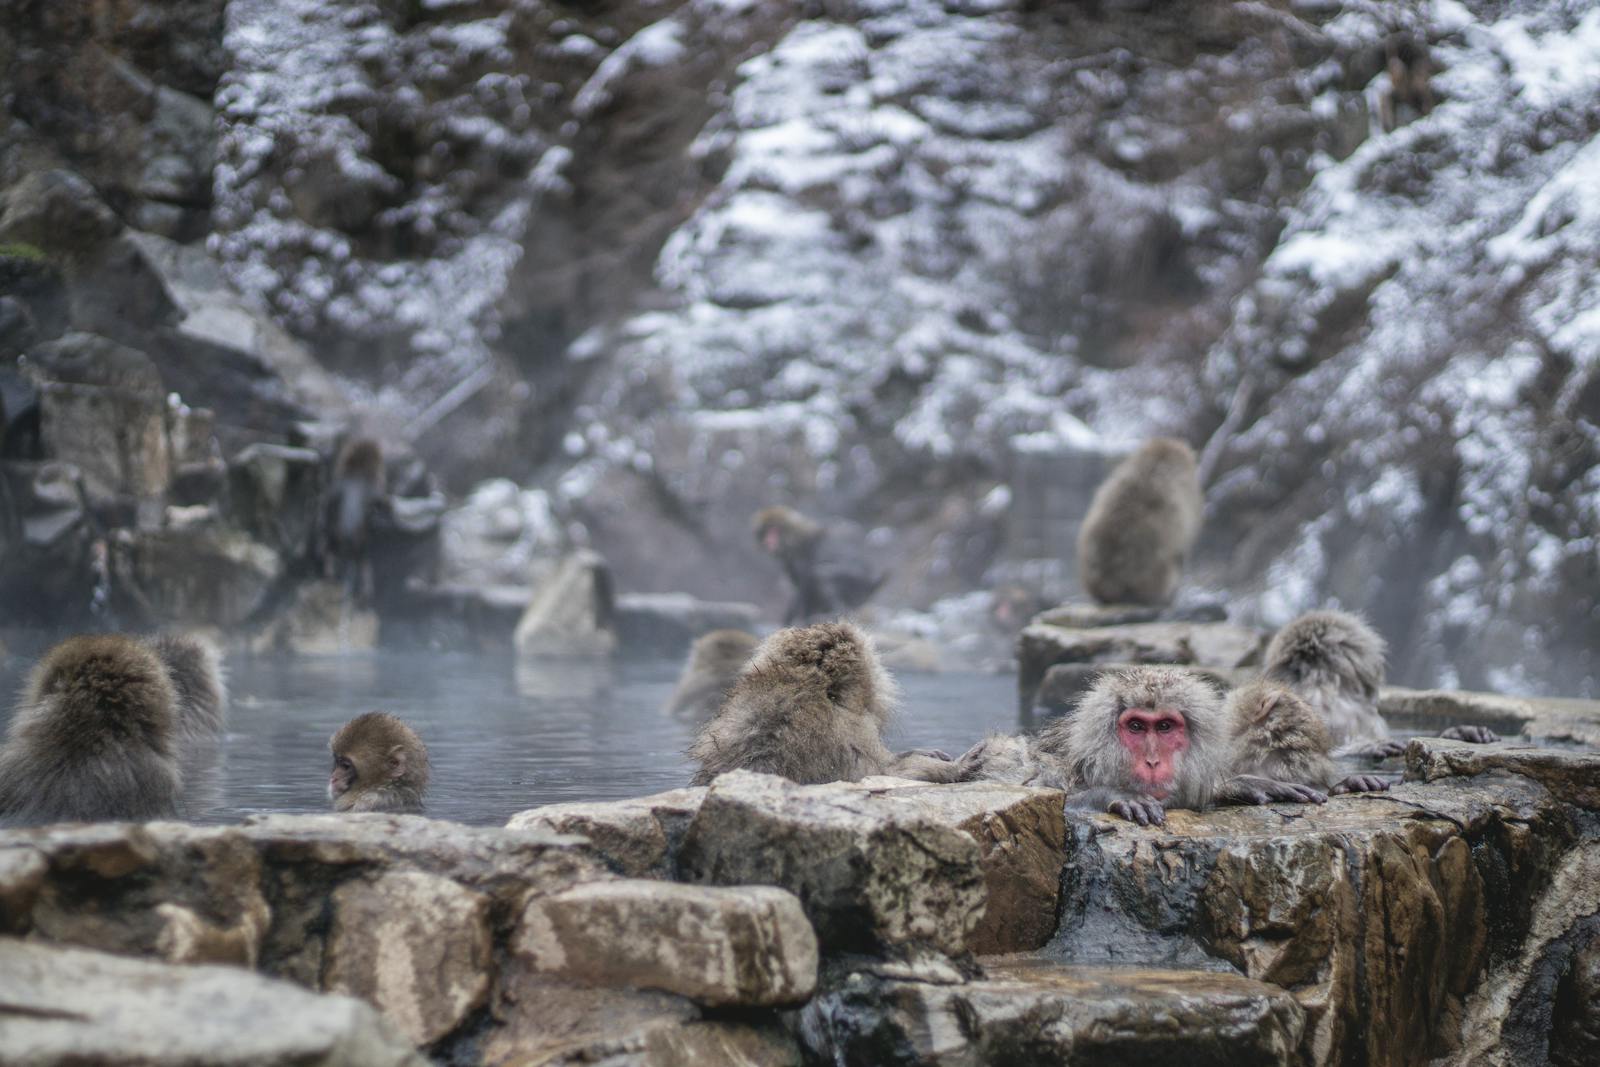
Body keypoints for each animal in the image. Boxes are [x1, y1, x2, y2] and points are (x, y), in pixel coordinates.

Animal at [752, 506, 886, 624]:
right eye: (766, 531)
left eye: (774, 530)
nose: (769, 540)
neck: (795, 540)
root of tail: (873, 583)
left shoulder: (800, 559)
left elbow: (803, 590)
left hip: (857, 584)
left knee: (819, 574)